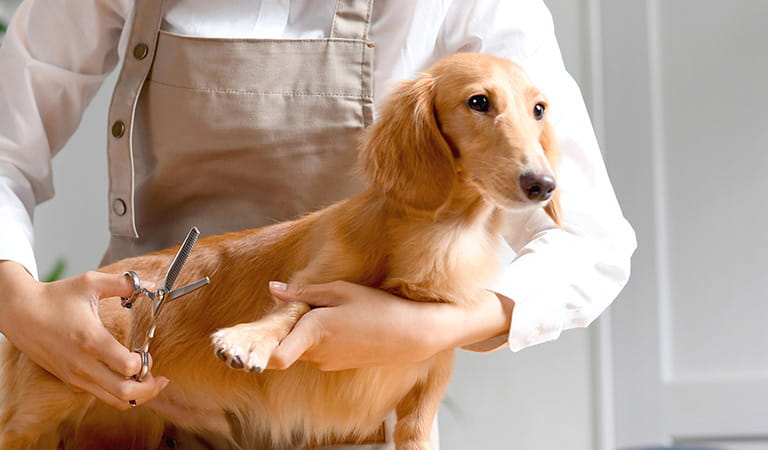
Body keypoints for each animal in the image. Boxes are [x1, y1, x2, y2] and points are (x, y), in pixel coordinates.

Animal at [1, 53, 564, 450]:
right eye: (478, 102)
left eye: (539, 109)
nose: (543, 185)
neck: (439, 238)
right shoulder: (316, 276)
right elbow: (294, 306)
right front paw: (248, 340)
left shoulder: (428, 381)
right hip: (37, 410)